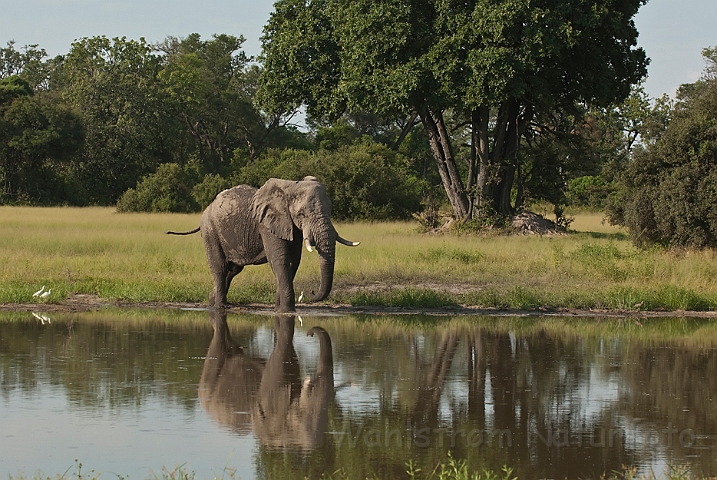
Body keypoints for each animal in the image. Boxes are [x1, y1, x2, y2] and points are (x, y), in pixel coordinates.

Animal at [167, 176, 358, 312]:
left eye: (330, 210)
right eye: (301, 214)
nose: (310, 293)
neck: (289, 188)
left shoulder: (292, 228)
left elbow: (292, 262)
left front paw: (278, 309)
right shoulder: (267, 225)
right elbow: (280, 260)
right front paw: (287, 312)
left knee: (233, 270)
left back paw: (212, 300)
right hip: (210, 230)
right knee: (220, 268)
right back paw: (219, 307)